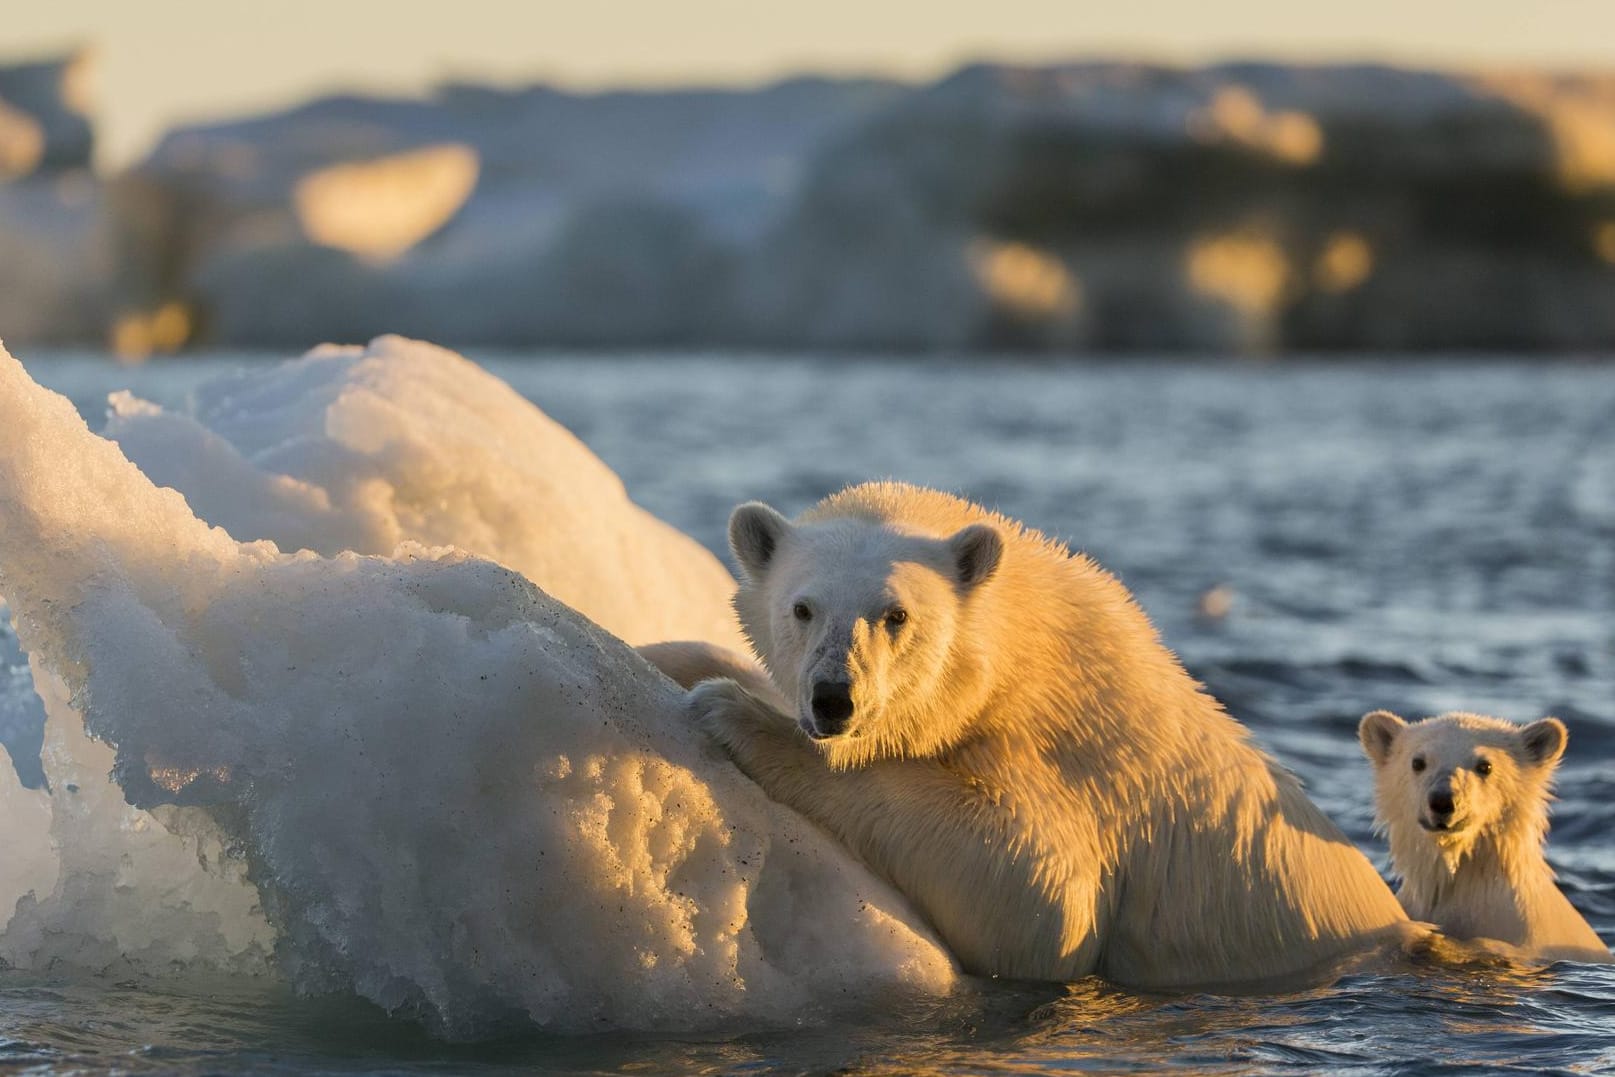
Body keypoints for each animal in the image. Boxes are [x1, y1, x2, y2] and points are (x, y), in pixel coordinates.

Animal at [652, 484, 1414, 988]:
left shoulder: (1075, 768)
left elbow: (1043, 897)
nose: (833, 699)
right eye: (801, 607)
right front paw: (679, 659)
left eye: (895, 614)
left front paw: (736, 712)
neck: (1028, 656)